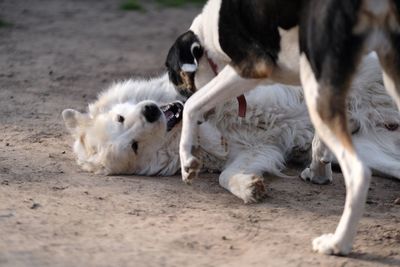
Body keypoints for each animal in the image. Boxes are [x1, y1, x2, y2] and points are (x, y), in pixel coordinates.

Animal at [61, 55, 398, 205]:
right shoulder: (259, 150)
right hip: (371, 152)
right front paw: (249, 187)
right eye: (134, 146)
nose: (150, 112)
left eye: (120, 118)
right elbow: (226, 176)